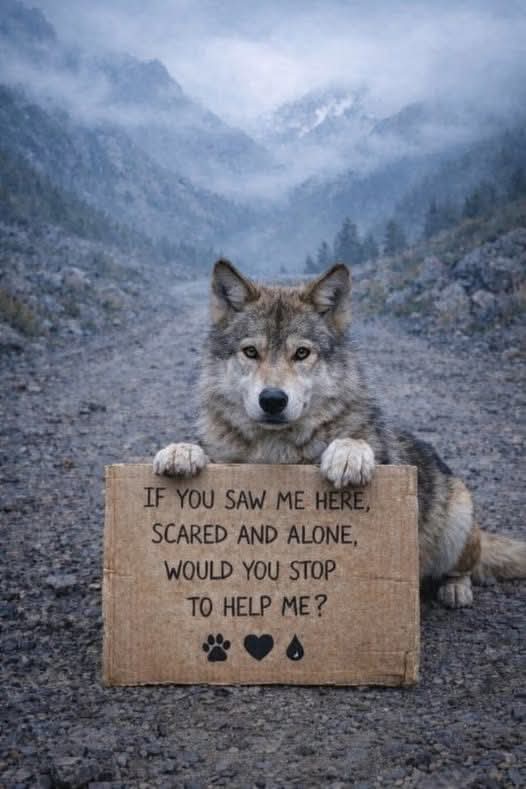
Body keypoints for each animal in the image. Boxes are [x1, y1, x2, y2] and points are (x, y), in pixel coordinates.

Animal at [153, 260, 526, 607]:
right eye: (250, 352)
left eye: (302, 353)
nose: (272, 399)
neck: (277, 452)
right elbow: (197, 448)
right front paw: (181, 451)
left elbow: (354, 442)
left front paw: (349, 455)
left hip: (457, 521)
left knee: (463, 567)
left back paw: (455, 589)